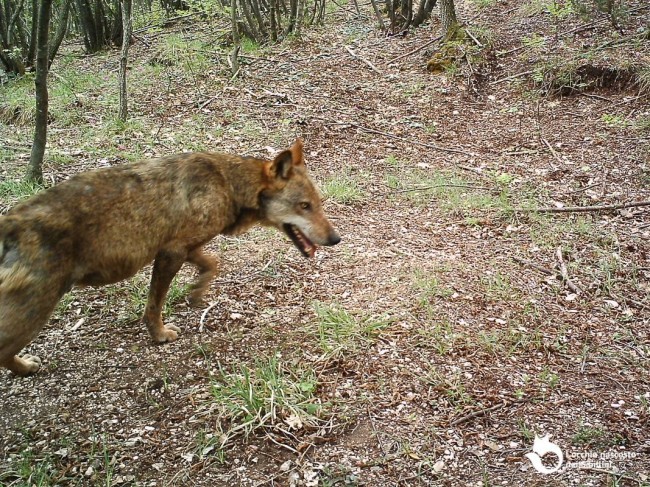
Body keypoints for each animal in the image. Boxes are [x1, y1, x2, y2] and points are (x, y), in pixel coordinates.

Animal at [0, 139, 340, 375]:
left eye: (318, 204)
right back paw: (26, 369)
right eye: (304, 206)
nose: (336, 239)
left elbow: (212, 264)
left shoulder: (185, 248)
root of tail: (9, 224)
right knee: (3, 350)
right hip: (36, 310)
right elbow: (154, 305)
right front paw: (160, 335)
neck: (227, 184)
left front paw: (197, 293)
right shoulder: (170, 253)